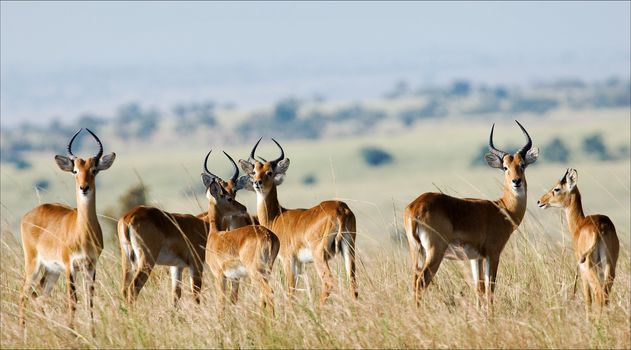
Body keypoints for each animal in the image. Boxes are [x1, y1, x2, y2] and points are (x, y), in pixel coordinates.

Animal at [119, 152, 254, 304]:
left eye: (234, 191)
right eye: (229, 197)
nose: (243, 208)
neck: (204, 224)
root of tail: (128, 218)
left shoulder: (176, 267)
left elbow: (175, 295)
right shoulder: (196, 265)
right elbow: (196, 295)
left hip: (127, 261)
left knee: (124, 289)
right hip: (146, 261)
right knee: (133, 289)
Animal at [202, 150, 282, 312]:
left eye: (233, 194)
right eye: (229, 197)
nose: (243, 208)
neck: (215, 235)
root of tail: (268, 236)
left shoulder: (220, 276)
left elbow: (221, 304)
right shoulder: (235, 279)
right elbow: (233, 300)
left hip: (256, 272)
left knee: (269, 292)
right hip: (267, 270)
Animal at [239, 138, 358, 304]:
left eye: (270, 172)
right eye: (254, 171)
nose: (257, 182)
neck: (276, 217)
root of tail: (340, 209)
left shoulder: (288, 260)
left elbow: (290, 291)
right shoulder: (300, 263)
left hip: (319, 255)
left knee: (328, 282)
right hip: (349, 248)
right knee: (353, 282)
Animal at [540, 168, 624, 316]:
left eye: (557, 188)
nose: (540, 201)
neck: (579, 225)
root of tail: (599, 228)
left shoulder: (582, 271)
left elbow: (587, 300)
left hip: (589, 268)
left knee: (598, 294)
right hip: (610, 267)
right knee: (606, 295)